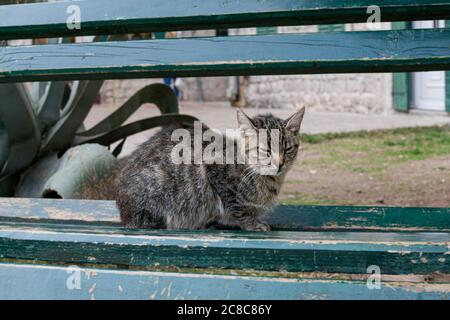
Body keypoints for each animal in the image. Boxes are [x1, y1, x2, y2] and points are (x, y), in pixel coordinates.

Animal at [116, 108, 306, 232]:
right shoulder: (212, 172)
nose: (280, 163)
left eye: (287, 149)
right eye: (265, 150)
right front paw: (252, 223)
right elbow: (235, 206)